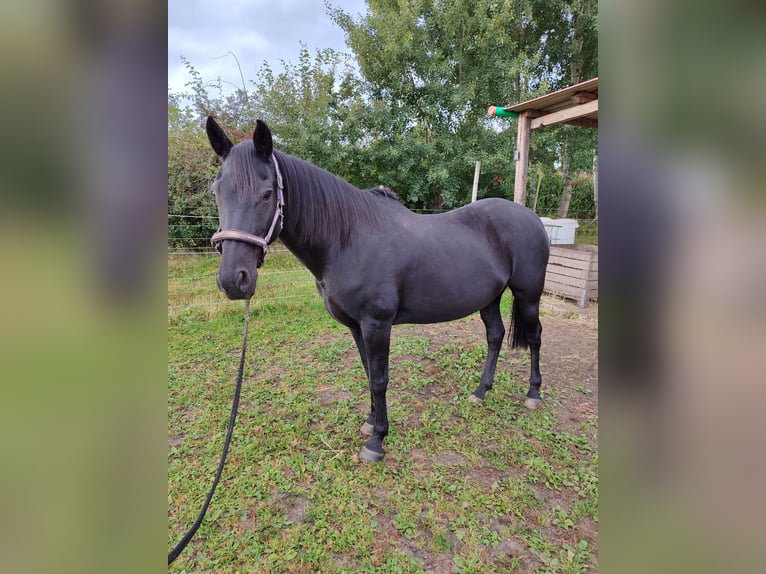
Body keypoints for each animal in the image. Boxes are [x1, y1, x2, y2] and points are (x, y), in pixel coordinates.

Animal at [205, 117, 550, 462]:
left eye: (266, 194)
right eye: (216, 192)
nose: (233, 280)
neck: (348, 239)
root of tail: (531, 216)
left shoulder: (377, 324)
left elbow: (381, 379)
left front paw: (377, 441)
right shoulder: (356, 326)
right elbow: (368, 373)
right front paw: (371, 422)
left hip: (528, 296)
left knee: (535, 336)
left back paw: (533, 394)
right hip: (489, 298)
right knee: (495, 335)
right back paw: (480, 392)